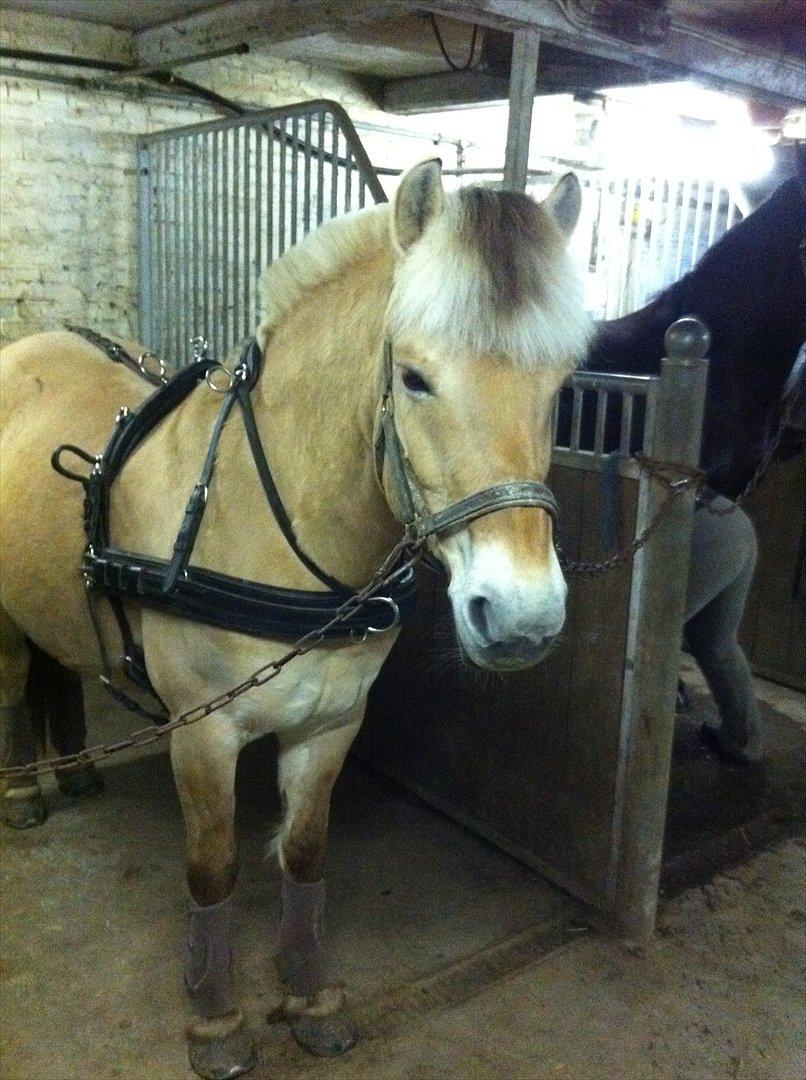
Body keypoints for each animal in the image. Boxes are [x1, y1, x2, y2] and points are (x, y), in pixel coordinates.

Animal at [0, 159, 591, 1078]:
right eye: (414, 377)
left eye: (561, 384)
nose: (521, 616)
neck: (266, 516)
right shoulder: (203, 734)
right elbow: (213, 869)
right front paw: (215, 1019)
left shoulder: (332, 721)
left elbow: (307, 855)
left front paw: (311, 997)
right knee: (12, 681)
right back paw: (26, 788)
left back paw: (80, 768)